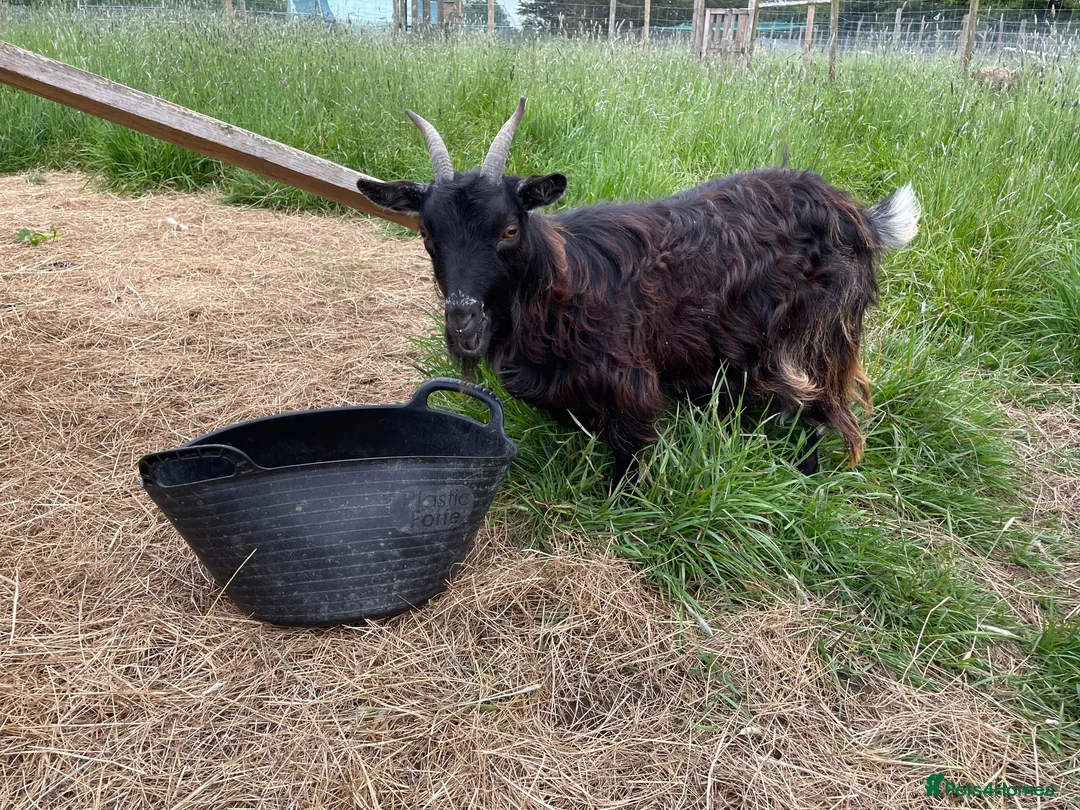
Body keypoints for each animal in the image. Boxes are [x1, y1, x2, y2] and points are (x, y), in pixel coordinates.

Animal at [355, 98, 920, 481]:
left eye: (509, 229)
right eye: (427, 235)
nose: (463, 318)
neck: (560, 289)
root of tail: (857, 214)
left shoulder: (629, 382)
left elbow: (629, 454)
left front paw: (620, 505)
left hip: (821, 334)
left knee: (822, 408)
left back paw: (807, 473)